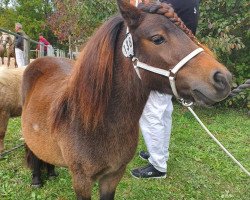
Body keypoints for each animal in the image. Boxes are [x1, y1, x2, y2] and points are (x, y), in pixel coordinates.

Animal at [22, 0, 232, 199]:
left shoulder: (113, 176)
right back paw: (37, 179)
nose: (223, 78)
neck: (92, 123)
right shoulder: (81, 180)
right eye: (157, 38)